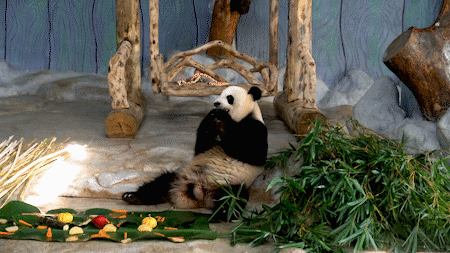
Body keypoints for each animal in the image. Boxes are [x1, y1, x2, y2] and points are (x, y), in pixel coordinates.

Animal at [122, 85, 268, 215]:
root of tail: (199, 195)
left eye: (229, 97)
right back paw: (132, 197)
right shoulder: (208, 143)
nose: (216, 103)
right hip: (179, 176)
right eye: (220, 94)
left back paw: (222, 214)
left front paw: (222, 119)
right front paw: (210, 117)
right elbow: (202, 147)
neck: (242, 117)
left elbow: (252, 153)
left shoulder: (255, 127)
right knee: (160, 183)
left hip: (228, 184)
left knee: (233, 198)